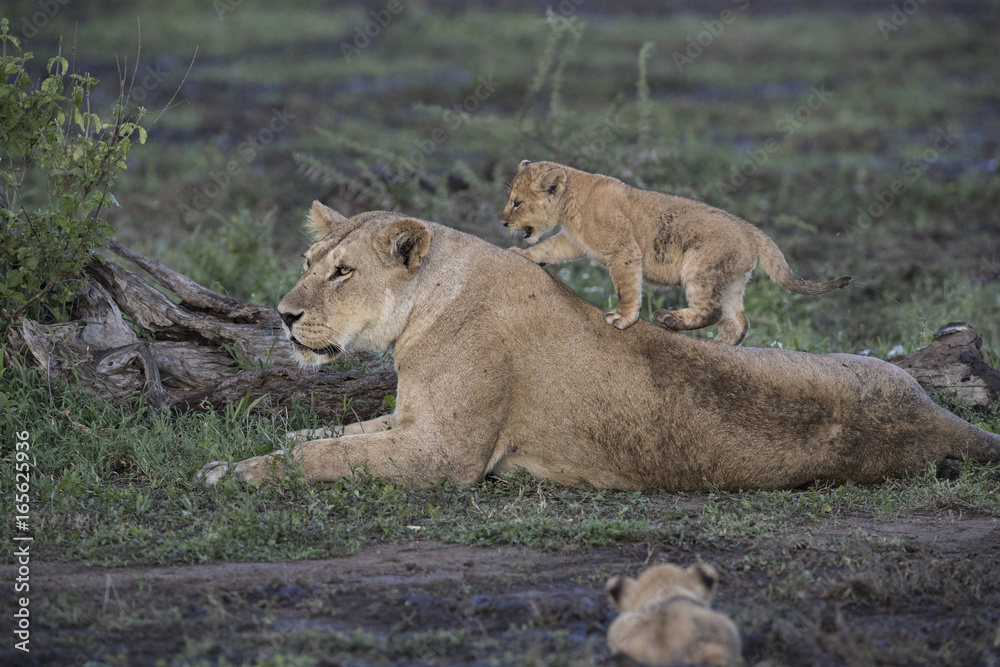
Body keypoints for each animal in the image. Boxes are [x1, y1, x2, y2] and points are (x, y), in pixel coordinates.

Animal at [198, 203, 1000, 491]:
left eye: (341, 272)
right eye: (309, 261)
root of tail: (943, 426)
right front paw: (251, 449)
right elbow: (329, 433)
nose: (282, 315)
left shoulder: (442, 455)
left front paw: (229, 473)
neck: (430, 301)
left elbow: (324, 456)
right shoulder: (408, 422)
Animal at [500, 160, 851, 345]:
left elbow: (627, 288)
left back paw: (668, 319)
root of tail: (752, 229)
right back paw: (719, 345)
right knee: (738, 320)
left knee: (711, 310)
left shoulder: (624, 251)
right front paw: (521, 255)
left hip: (701, 268)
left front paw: (622, 319)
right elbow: (548, 247)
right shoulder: (572, 241)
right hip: (732, 281)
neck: (572, 203)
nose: (502, 221)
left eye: (517, 203)